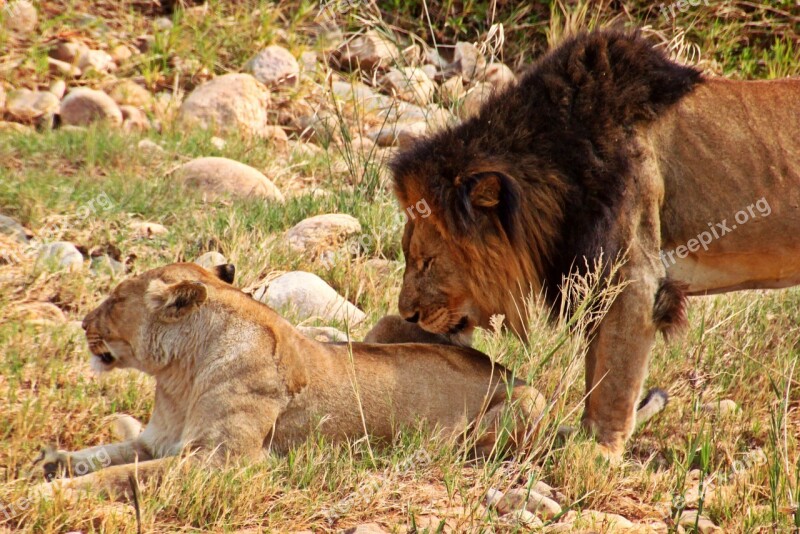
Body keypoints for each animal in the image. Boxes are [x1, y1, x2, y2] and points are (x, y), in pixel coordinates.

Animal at [31, 264, 544, 498]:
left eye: (117, 300)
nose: (82, 322)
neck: (179, 377)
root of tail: (502, 367)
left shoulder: (220, 462)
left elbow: (120, 475)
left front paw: (49, 493)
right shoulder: (158, 441)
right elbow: (103, 455)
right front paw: (52, 463)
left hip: (531, 401)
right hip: (390, 323)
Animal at [390, 29, 800, 458]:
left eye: (427, 260)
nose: (407, 316)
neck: (555, 171)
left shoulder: (634, 280)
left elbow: (614, 378)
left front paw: (599, 450)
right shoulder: (594, 279)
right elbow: (596, 368)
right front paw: (582, 436)